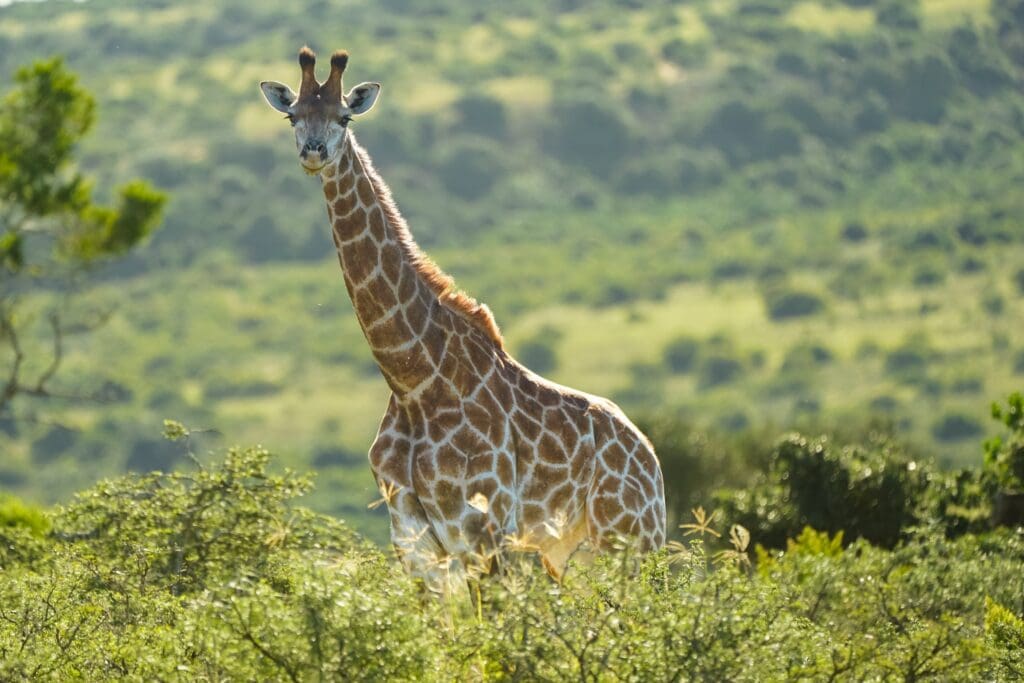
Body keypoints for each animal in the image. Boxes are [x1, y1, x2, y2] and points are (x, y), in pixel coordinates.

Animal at [260, 47, 666, 591]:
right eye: (293, 115)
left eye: (344, 117)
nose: (314, 152)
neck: (412, 379)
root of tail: (652, 464)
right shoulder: (412, 539)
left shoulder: (480, 530)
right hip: (569, 556)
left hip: (627, 543)